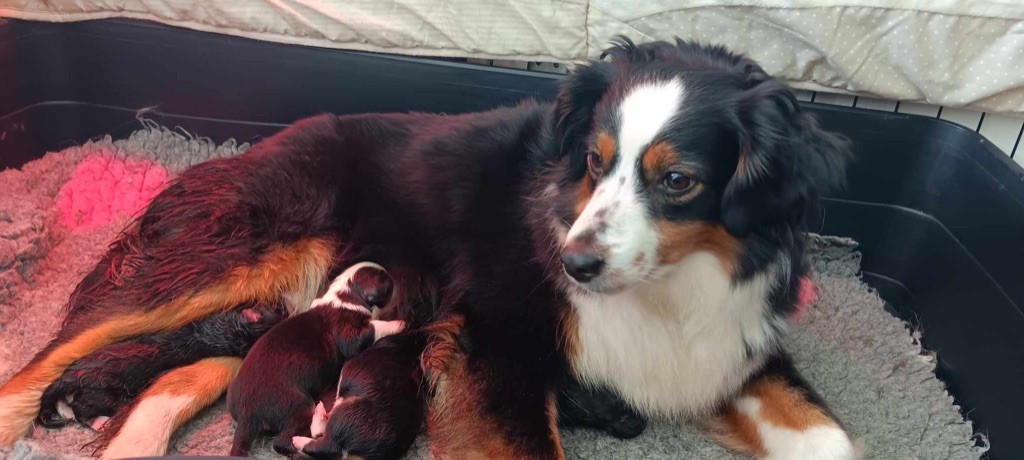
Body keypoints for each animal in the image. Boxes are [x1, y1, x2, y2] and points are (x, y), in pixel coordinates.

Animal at [228, 262, 403, 454]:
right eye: (389, 285)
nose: (402, 288)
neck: (346, 294)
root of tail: (247, 413)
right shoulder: (350, 335)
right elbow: (372, 328)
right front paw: (397, 324)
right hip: (299, 405)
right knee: (282, 442)